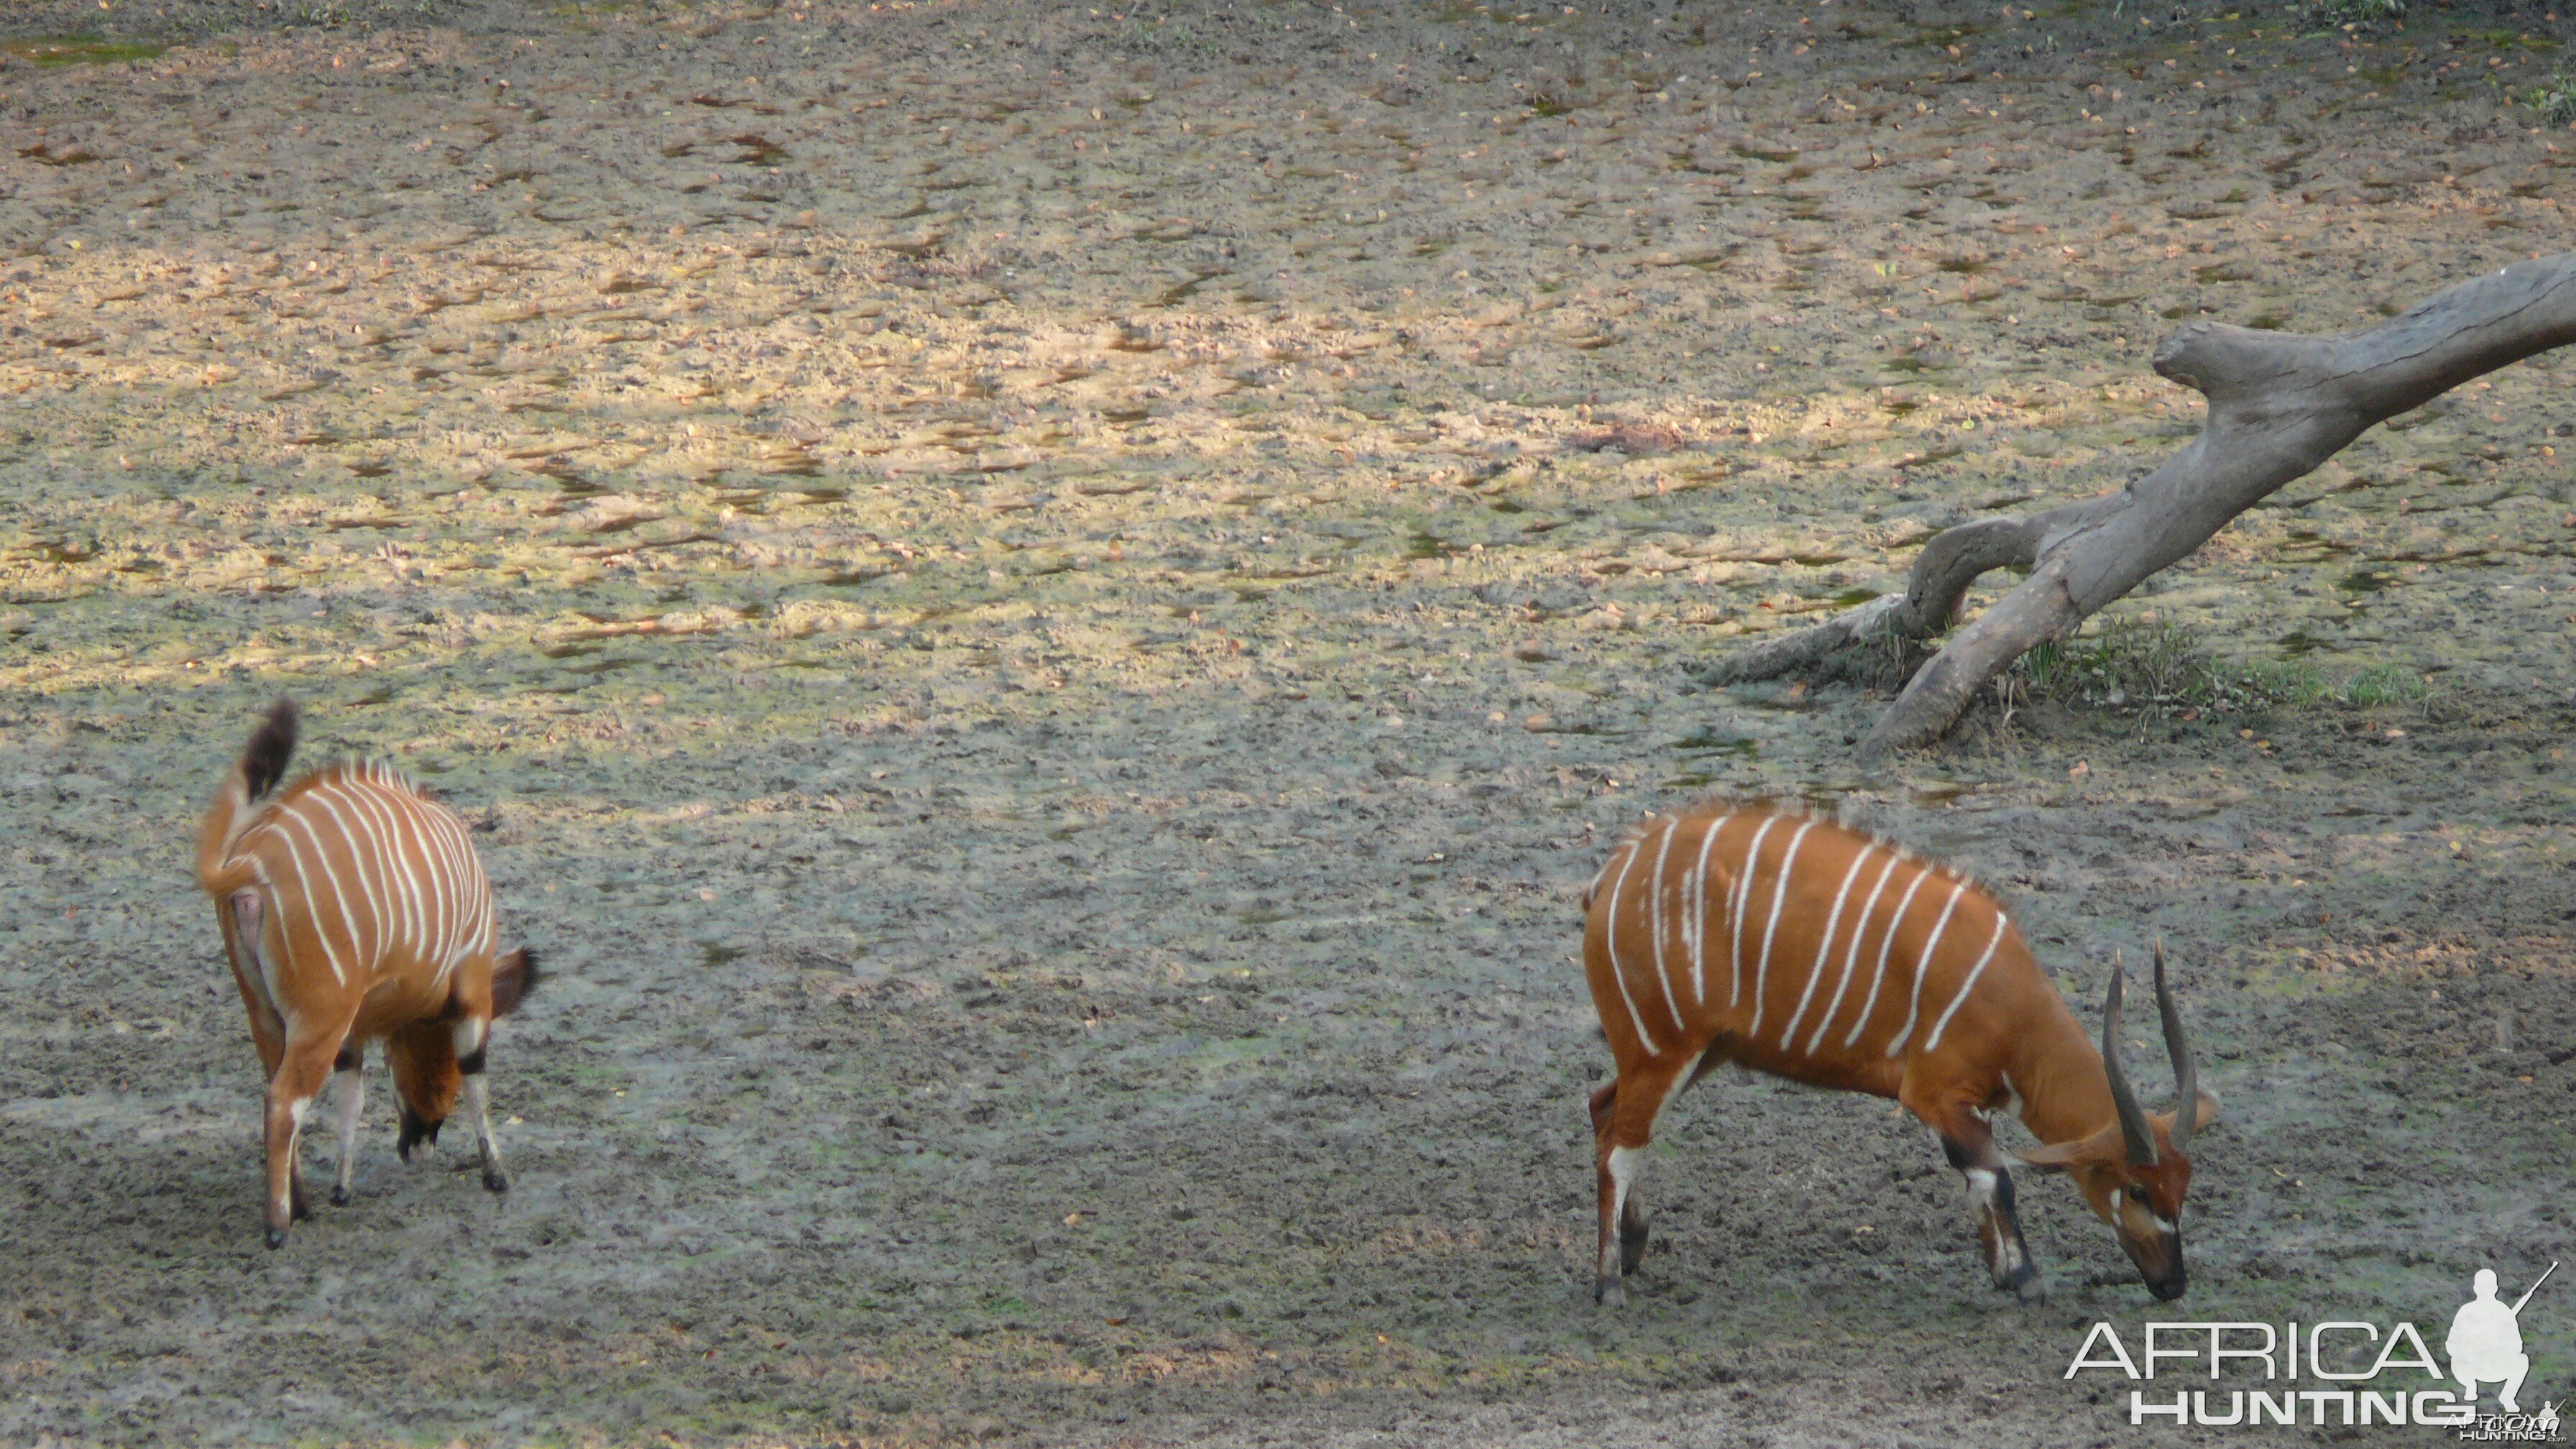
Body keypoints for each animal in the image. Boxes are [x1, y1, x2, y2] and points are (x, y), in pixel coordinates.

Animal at [196, 701, 538, 1243]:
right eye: (439, 1071)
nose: (419, 1142)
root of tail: (251, 861)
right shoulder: (471, 989)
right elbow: (478, 1082)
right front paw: (496, 1174)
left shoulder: (352, 1032)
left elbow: (351, 1099)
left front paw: (342, 1189)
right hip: (318, 1019)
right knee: (283, 1104)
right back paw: (278, 1226)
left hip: (267, 1016)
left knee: (274, 1094)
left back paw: (303, 1205)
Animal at [1586, 794, 2215, 1305]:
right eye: (2136, 1188)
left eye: (2183, 1185)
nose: (2173, 1284)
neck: (2010, 1000)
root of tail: (1613, 874)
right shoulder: (1935, 1094)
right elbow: (1996, 1176)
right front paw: (2026, 1279)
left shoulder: (1967, 1105)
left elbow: (1978, 1178)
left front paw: (2002, 1271)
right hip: (1663, 1051)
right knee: (1621, 1146)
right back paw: (1609, 1283)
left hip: (1698, 1051)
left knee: (1603, 1109)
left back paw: (1635, 1245)